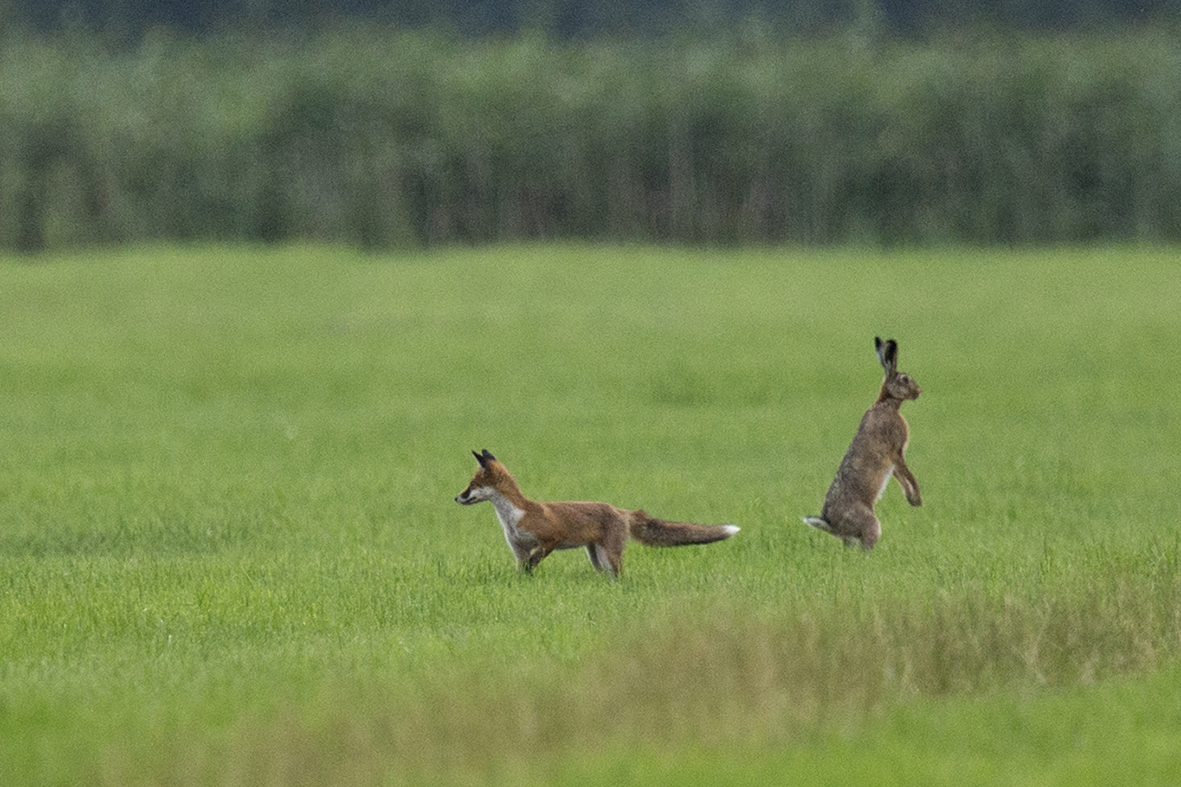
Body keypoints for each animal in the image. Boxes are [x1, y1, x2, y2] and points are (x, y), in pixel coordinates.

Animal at [453, 446, 736, 576]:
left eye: (472, 485)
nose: (456, 497)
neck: (513, 517)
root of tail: (621, 510)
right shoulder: (518, 550)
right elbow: (523, 571)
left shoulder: (551, 539)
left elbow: (535, 561)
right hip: (596, 557)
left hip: (609, 555)